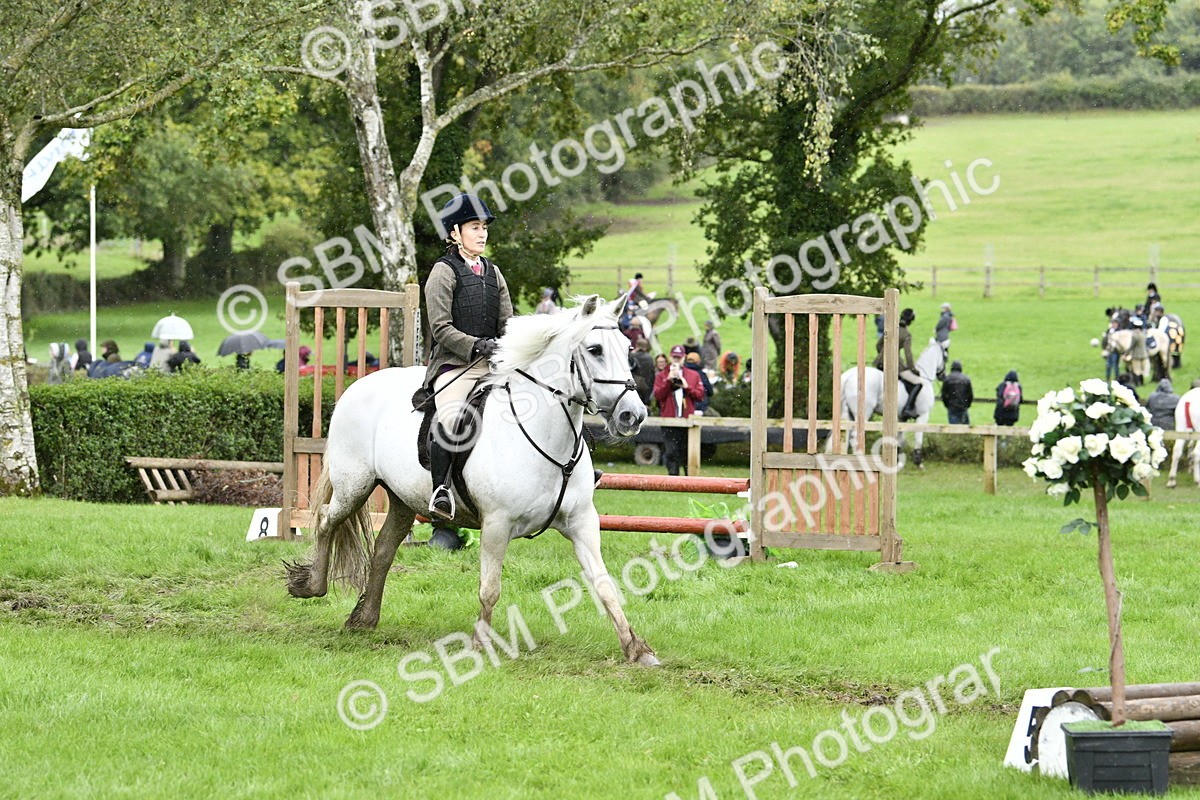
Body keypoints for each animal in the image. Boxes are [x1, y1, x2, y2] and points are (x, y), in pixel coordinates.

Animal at [284, 295, 661, 665]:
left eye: (628, 348)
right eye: (595, 349)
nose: (633, 416)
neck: (546, 434)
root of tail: (358, 385)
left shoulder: (582, 522)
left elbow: (603, 584)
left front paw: (636, 648)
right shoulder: (497, 524)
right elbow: (490, 588)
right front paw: (482, 645)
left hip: (402, 500)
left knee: (383, 550)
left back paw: (364, 618)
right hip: (354, 486)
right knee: (325, 521)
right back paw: (310, 586)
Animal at [837, 338, 947, 467]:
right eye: (945, 356)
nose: (943, 376)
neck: (924, 377)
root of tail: (849, 375)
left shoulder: (902, 418)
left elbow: (899, 438)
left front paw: (897, 460)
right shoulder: (923, 416)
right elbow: (919, 438)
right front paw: (918, 461)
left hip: (848, 414)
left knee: (846, 434)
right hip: (864, 413)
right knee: (855, 437)